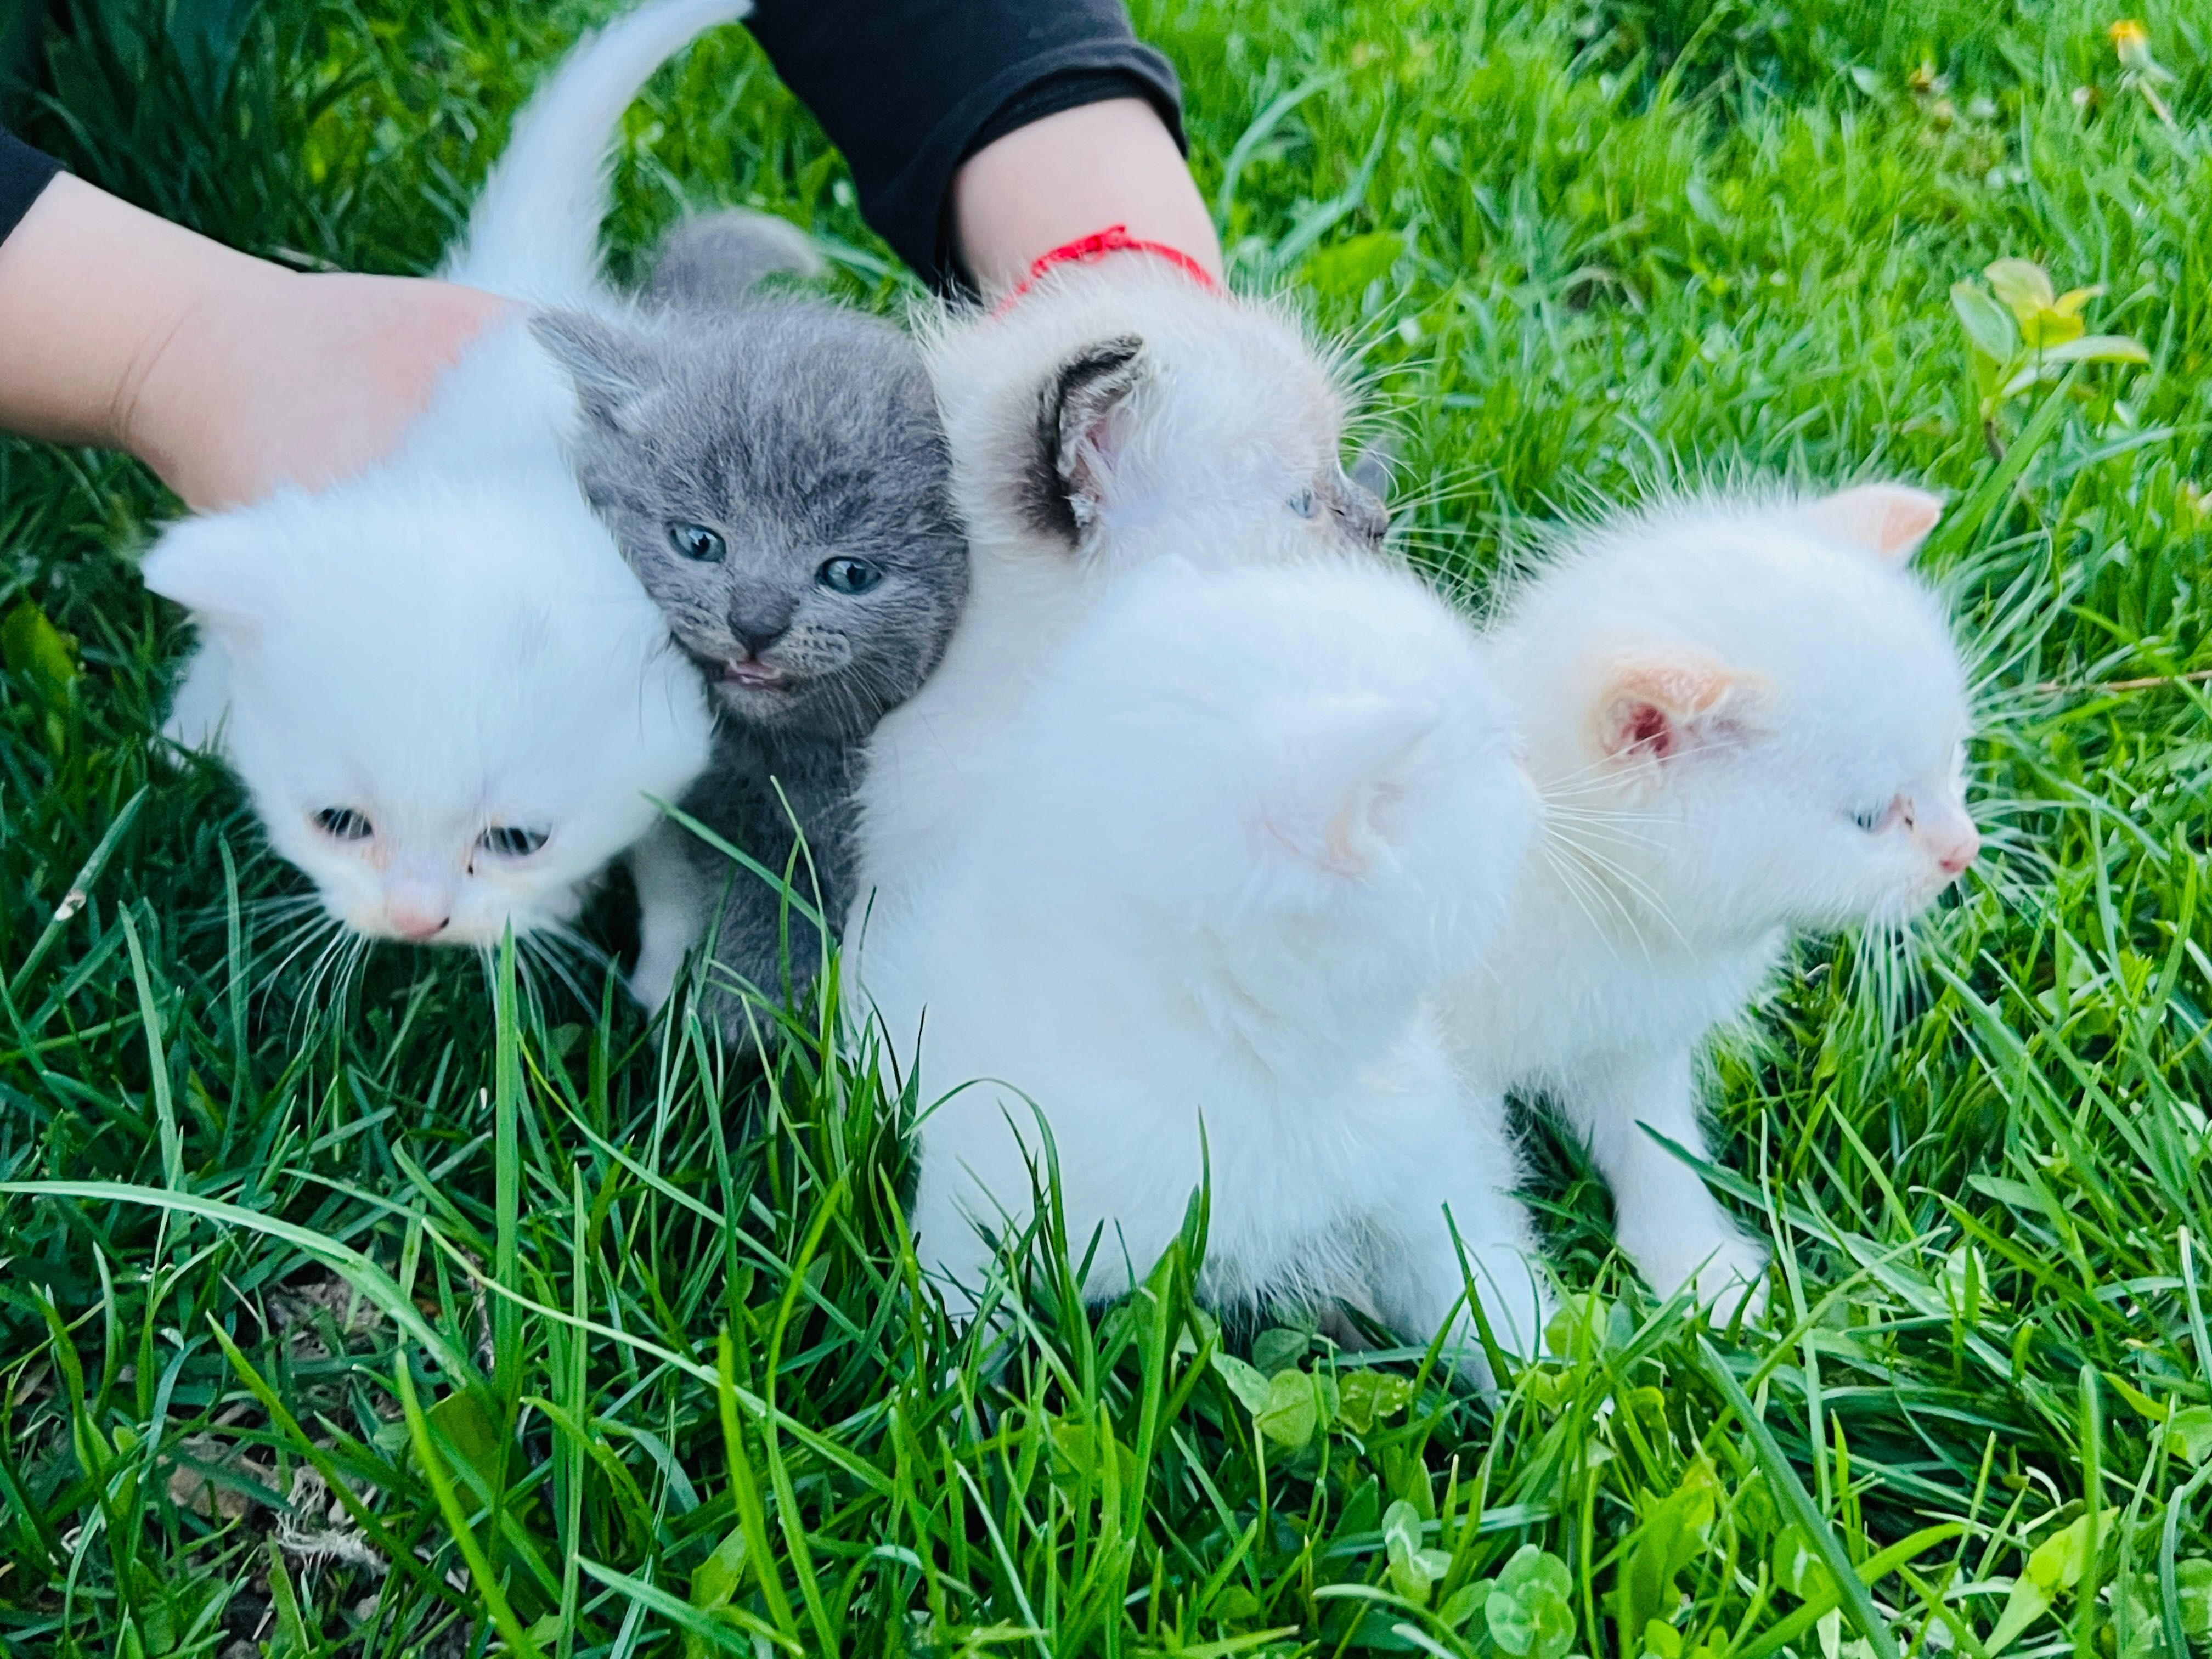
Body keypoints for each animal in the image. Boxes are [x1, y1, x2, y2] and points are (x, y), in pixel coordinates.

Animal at [854, 553, 1548, 1380]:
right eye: (1499, 754)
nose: (1537, 778)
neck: (1258, 1063)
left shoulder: (1424, 1191)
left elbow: (1487, 1300)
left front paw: (1569, 1392)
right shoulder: (989, 1192)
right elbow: (960, 1312)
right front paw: (938, 1383)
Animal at [1442, 487, 1982, 1318]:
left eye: (1953, 756)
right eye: (1870, 818)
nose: (1965, 851)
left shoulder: (1632, 1036)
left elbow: (1654, 1140)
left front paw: (1696, 1267)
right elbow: (1458, 1219)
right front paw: (1508, 1329)